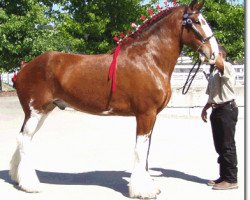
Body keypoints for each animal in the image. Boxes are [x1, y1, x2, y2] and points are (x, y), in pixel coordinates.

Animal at [8, 0, 218, 198]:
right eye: (196, 22)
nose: (214, 54)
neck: (149, 60)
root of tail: (24, 68)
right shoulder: (145, 114)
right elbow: (140, 150)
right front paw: (142, 191)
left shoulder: (152, 116)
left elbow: (147, 151)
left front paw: (149, 186)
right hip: (36, 111)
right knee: (24, 140)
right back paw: (31, 185)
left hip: (43, 111)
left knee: (24, 138)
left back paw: (18, 178)